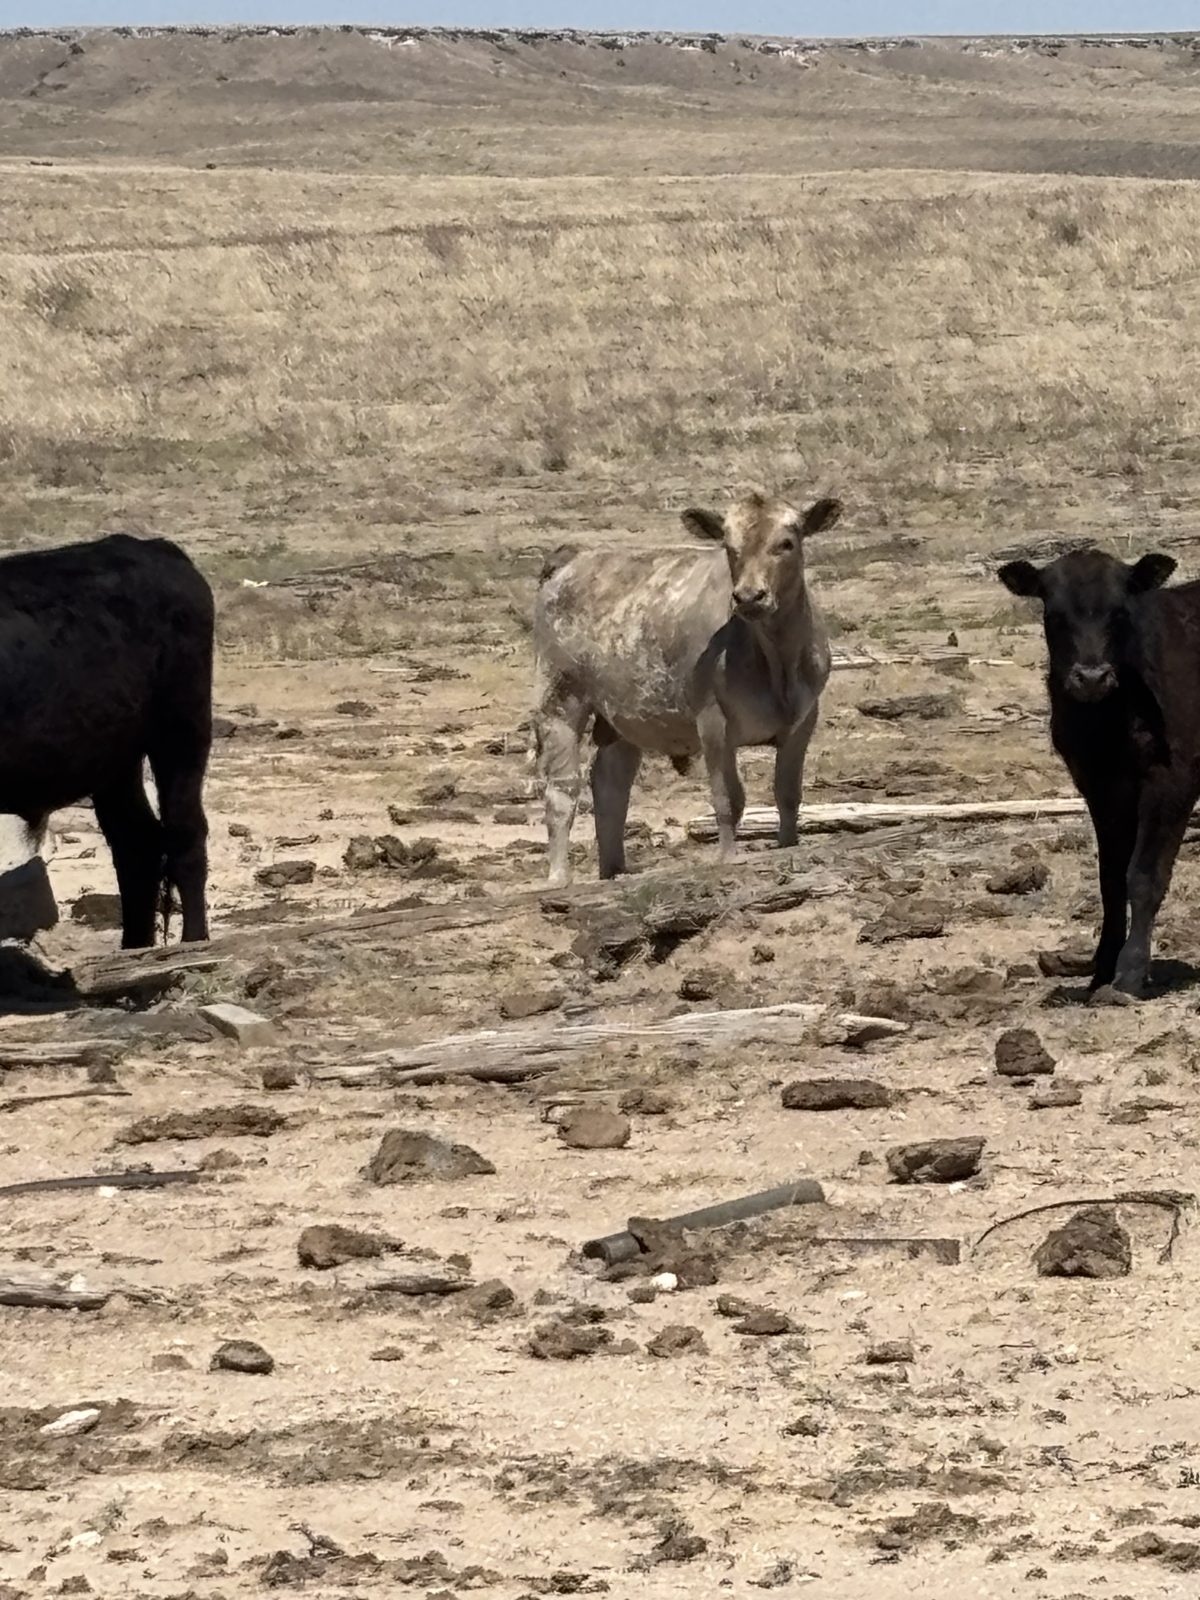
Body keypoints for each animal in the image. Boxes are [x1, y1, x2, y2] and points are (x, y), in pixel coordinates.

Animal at [0, 533, 214, 949]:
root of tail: (151, 546)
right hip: (115, 760)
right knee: (137, 844)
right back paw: (134, 949)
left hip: (181, 731)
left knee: (185, 834)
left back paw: (192, 943)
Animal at [532, 489, 842, 886]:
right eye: (729, 547)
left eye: (786, 544)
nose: (749, 597)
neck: (777, 660)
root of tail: (576, 558)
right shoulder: (712, 720)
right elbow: (728, 798)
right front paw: (728, 857)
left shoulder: (804, 719)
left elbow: (787, 792)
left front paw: (788, 844)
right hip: (559, 697)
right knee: (562, 789)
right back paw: (560, 877)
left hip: (622, 715)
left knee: (610, 782)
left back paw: (615, 869)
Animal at [998, 545, 1200, 996]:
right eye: (1054, 614)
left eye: (1120, 612)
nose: (1091, 677)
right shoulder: (1099, 786)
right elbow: (1111, 879)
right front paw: (1102, 969)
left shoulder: (1172, 779)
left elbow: (1144, 875)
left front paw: (1129, 974)